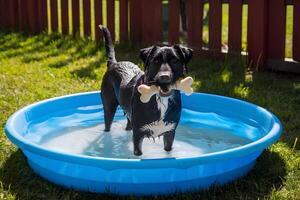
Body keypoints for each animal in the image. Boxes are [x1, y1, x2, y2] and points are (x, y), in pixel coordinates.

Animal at [99, 26, 191, 156]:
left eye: (174, 60)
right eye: (155, 61)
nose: (164, 77)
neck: (160, 99)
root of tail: (114, 63)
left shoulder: (170, 132)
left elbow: (168, 149)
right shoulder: (138, 133)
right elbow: (138, 151)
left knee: (128, 125)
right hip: (109, 105)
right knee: (108, 121)